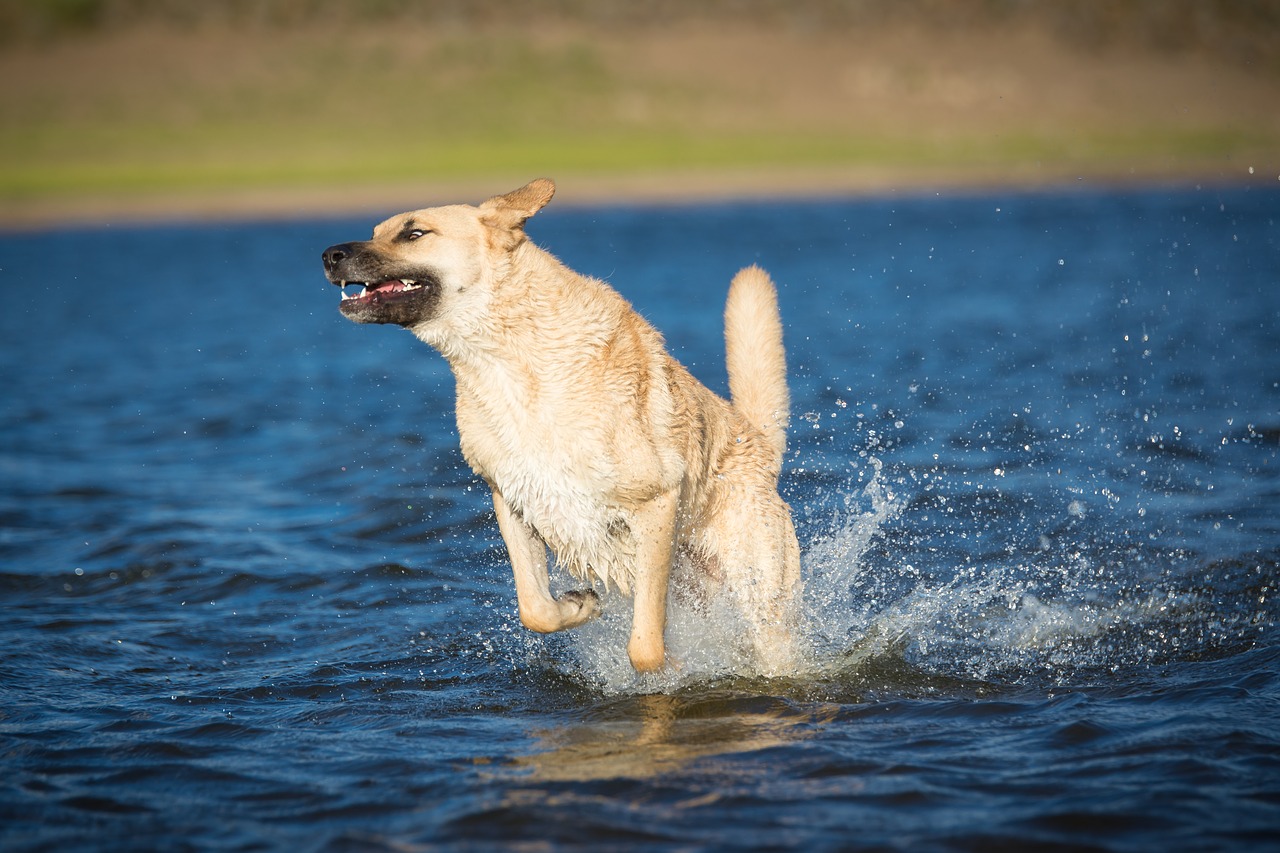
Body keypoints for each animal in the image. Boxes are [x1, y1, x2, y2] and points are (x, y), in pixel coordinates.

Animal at [320, 179, 798, 671]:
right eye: (376, 231)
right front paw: (579, 604)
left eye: (414, 234)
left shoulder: (654, 504)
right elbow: (535, 609)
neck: (509, 358)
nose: (329, 255)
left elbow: (646, 648)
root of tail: (757, 440)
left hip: (759, 591)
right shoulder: (514, 499)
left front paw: (679, 669)